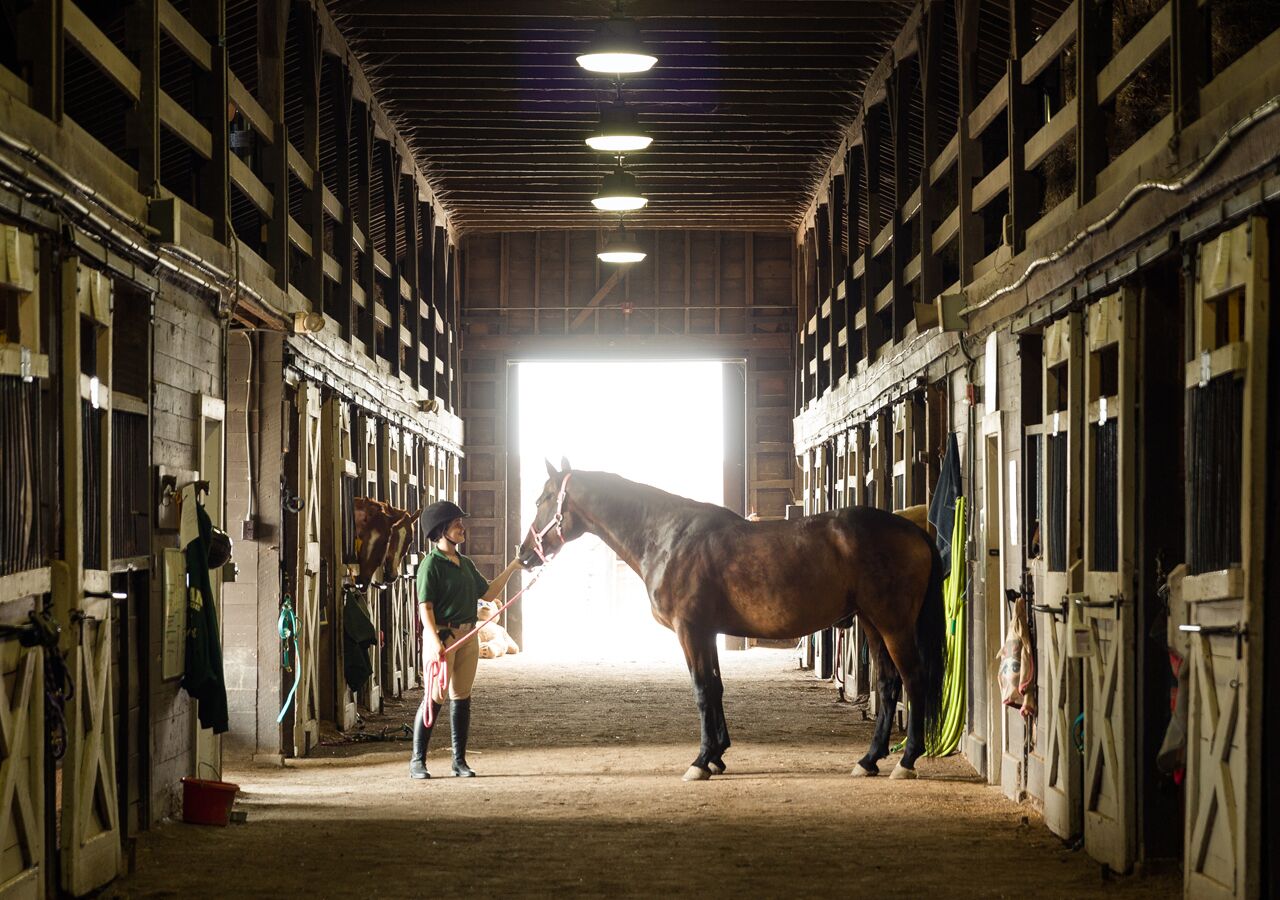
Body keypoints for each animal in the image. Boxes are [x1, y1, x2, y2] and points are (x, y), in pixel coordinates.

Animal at [517, 459, 946, 782]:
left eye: (544, 498)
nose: (524, 555)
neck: (668, 537)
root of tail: (913, 529)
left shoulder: (689, 631)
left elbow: (701, 690)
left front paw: (699, 762)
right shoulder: (706, 632)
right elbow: (716, 688)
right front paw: (718, 755)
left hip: (892, 625)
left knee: (913, 681)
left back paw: (906, 761)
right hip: (872, 623)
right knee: (888, 685)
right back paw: (868, 760)